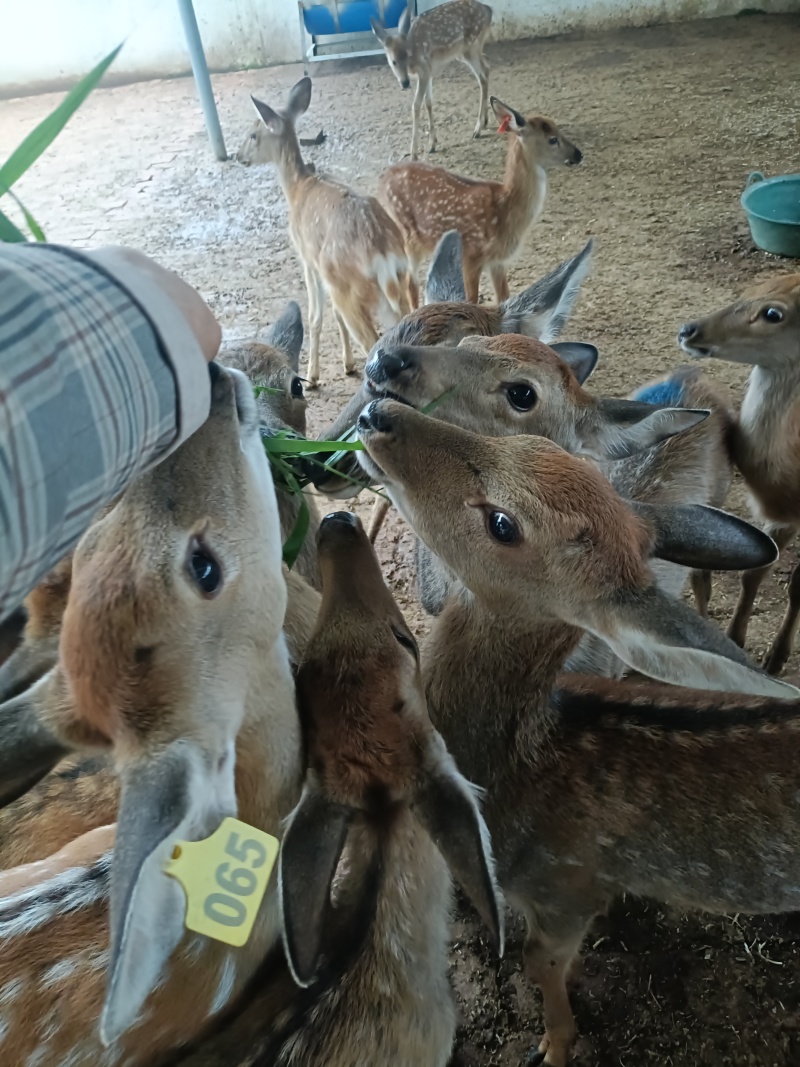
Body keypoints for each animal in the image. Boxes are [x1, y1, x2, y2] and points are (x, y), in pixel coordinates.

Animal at [237, 77, 417, 386]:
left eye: (253, 134)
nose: (238, 156)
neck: (297, 189)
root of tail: (383, 251)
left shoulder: (308, 259)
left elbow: (315, 316)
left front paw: (313, 375)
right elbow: (333, 315)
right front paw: (346, 364)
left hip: (351, 289)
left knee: (373, 343)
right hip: (398, 285)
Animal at [356, 396, 800, 1066]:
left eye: (503, 523)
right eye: (534, 446)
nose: (377, 412)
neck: (518, 770)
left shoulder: (565, 885)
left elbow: (540, 961)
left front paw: (553, 1046)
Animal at [370, 0, 493, 161]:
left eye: (407, 56)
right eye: (393, 61)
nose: (405, 83)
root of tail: (488, 10)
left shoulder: (424, 70)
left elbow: (416, 105)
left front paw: (414, 154)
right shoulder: (428, 71)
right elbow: (428, 102)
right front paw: (432, 144)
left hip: (471, 46)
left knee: (482, 76)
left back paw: (477, 129)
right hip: (466, 52)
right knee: (486, 68)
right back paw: (485, 121)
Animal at [378, 97, 582, 303]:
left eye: (559, 129)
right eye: (552, 139)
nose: (579, 154)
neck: (504, 210)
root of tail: (383, 179)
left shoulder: (498, 261)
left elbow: (503, 298)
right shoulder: (471, 255)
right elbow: (470, 300)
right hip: (407, 238)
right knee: (409, 284)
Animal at [679, 273, 800, 675]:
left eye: (773, 313)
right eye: (749, 290)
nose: (689, 329)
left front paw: (776, 659)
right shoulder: (783, 516)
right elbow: (754, 573)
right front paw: (737, 640)